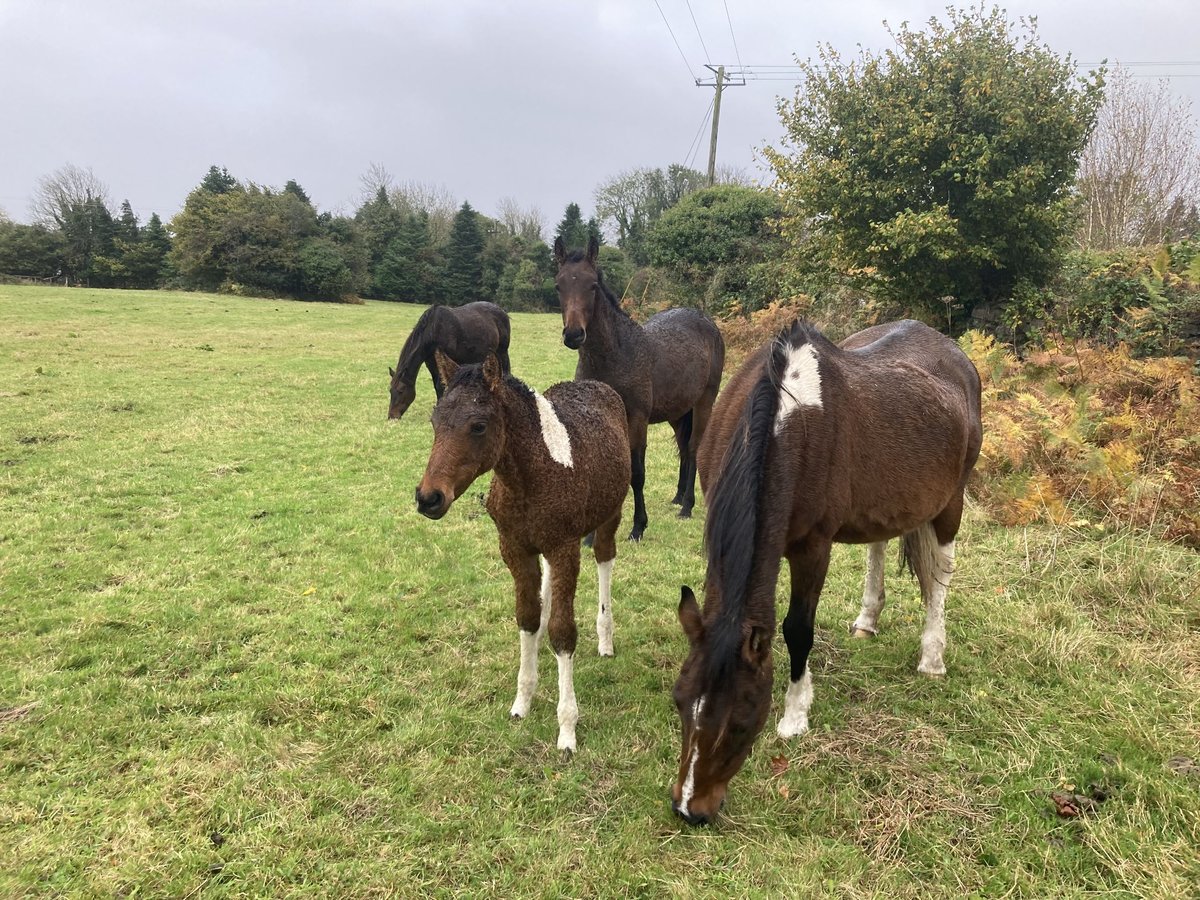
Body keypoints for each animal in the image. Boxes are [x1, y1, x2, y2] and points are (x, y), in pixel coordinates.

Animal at [415, 351, 631, 753]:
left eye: (478, 426)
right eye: (435, 422)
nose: (429, 498)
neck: (530, 477)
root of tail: (596, 385)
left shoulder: (565, 547)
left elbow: (564, 631)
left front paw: (567, 728)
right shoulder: (514, 547)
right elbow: (527, 617)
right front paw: (522, 701)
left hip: (611, 514)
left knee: (605, 557)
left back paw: (605, 638)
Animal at [554, 236, 724, 542]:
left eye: (592, 285)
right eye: (559, 285)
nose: (573, 335)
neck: (616, 355)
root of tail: (707, 321)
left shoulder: (637, 419)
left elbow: (637, 473)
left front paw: (638, 527)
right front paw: (590, 537)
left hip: (705, 400)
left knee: (694, 447)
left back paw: (687, 506)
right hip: (677, 411)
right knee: (683, 446)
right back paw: (678, 497)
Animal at [669, 319, 983, 825]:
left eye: (741, 720)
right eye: (680, 701)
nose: (688, 808)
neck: (784, 419)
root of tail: (956, 355)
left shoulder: (812, 549)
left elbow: (797, 630)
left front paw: (795, 715)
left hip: (950, 502)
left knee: (940, 575)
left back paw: (932, 657)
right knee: (879, 546)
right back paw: (867, 620)